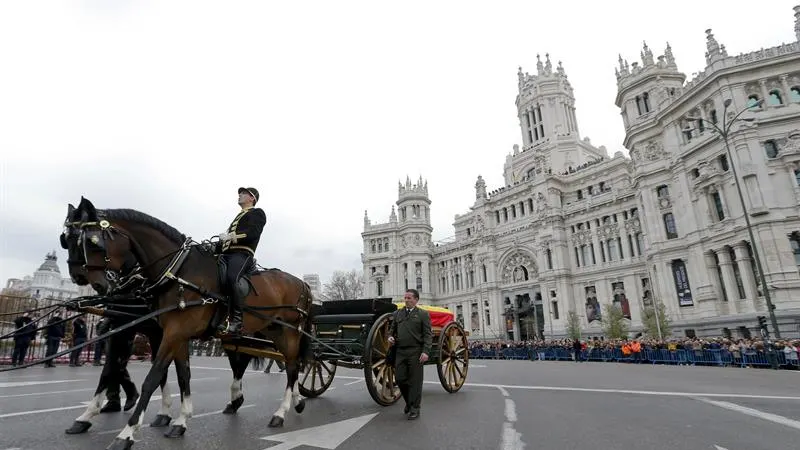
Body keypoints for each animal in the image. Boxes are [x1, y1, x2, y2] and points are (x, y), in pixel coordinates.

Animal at [72, 197, 314, 450]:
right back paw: (284, 402)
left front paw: (126, 433)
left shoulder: (171, 333)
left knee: (292, 367)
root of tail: (303, 284)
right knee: (280, 366)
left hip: (289, 333)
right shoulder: (175, 334)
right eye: (71, 240)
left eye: (93, 242)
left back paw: (281, 412)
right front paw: (180, 420)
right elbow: (181, 375)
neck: (179, 272)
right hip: (272, 331)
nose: (93, 282)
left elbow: (152, 378)